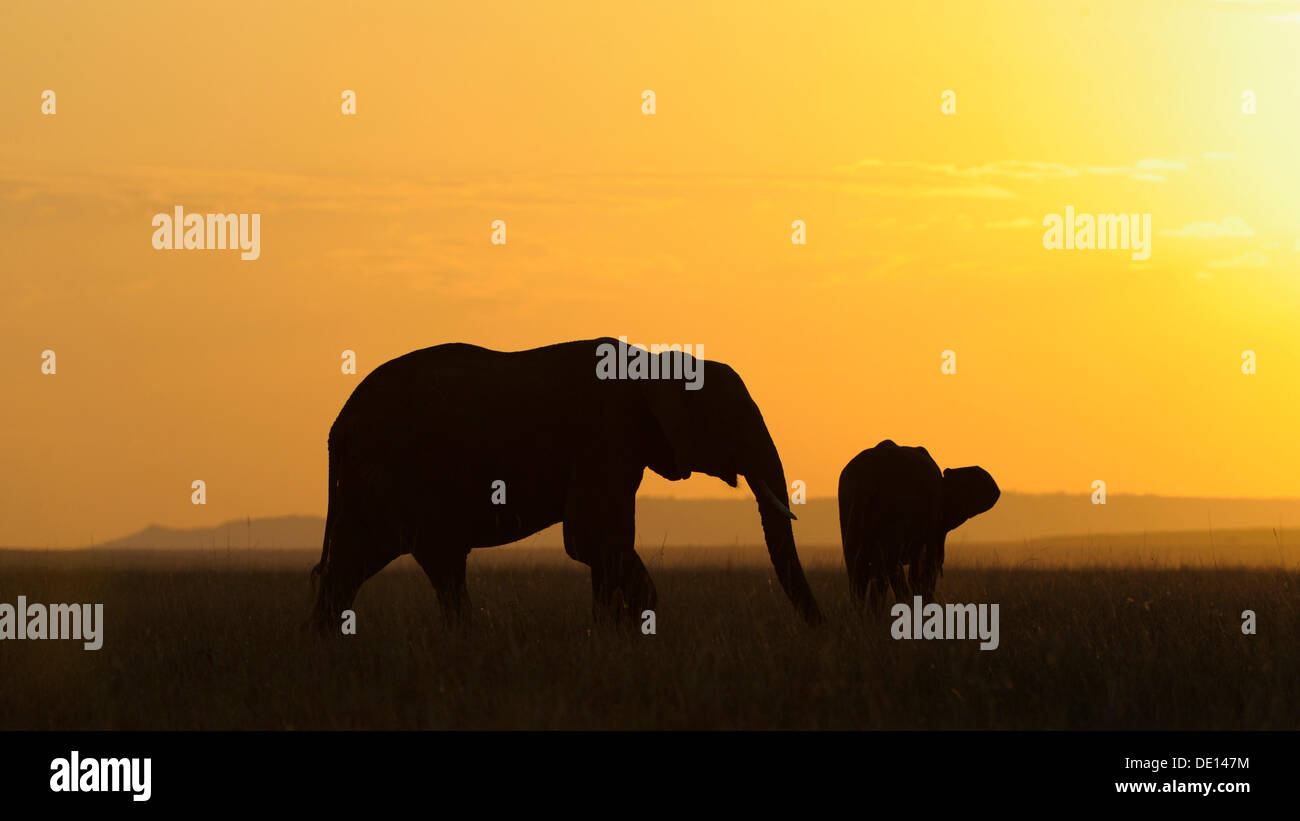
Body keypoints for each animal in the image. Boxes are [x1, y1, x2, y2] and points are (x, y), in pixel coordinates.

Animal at [309, 338, 824, 631]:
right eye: (734, 421)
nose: (821, 629)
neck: (653, 363)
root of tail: (337, 424)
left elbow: (605, 547)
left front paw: (608, 637)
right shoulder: (605, 432)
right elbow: (592, 539)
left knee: (411, 565)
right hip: (385, 475)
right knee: (378, 561)